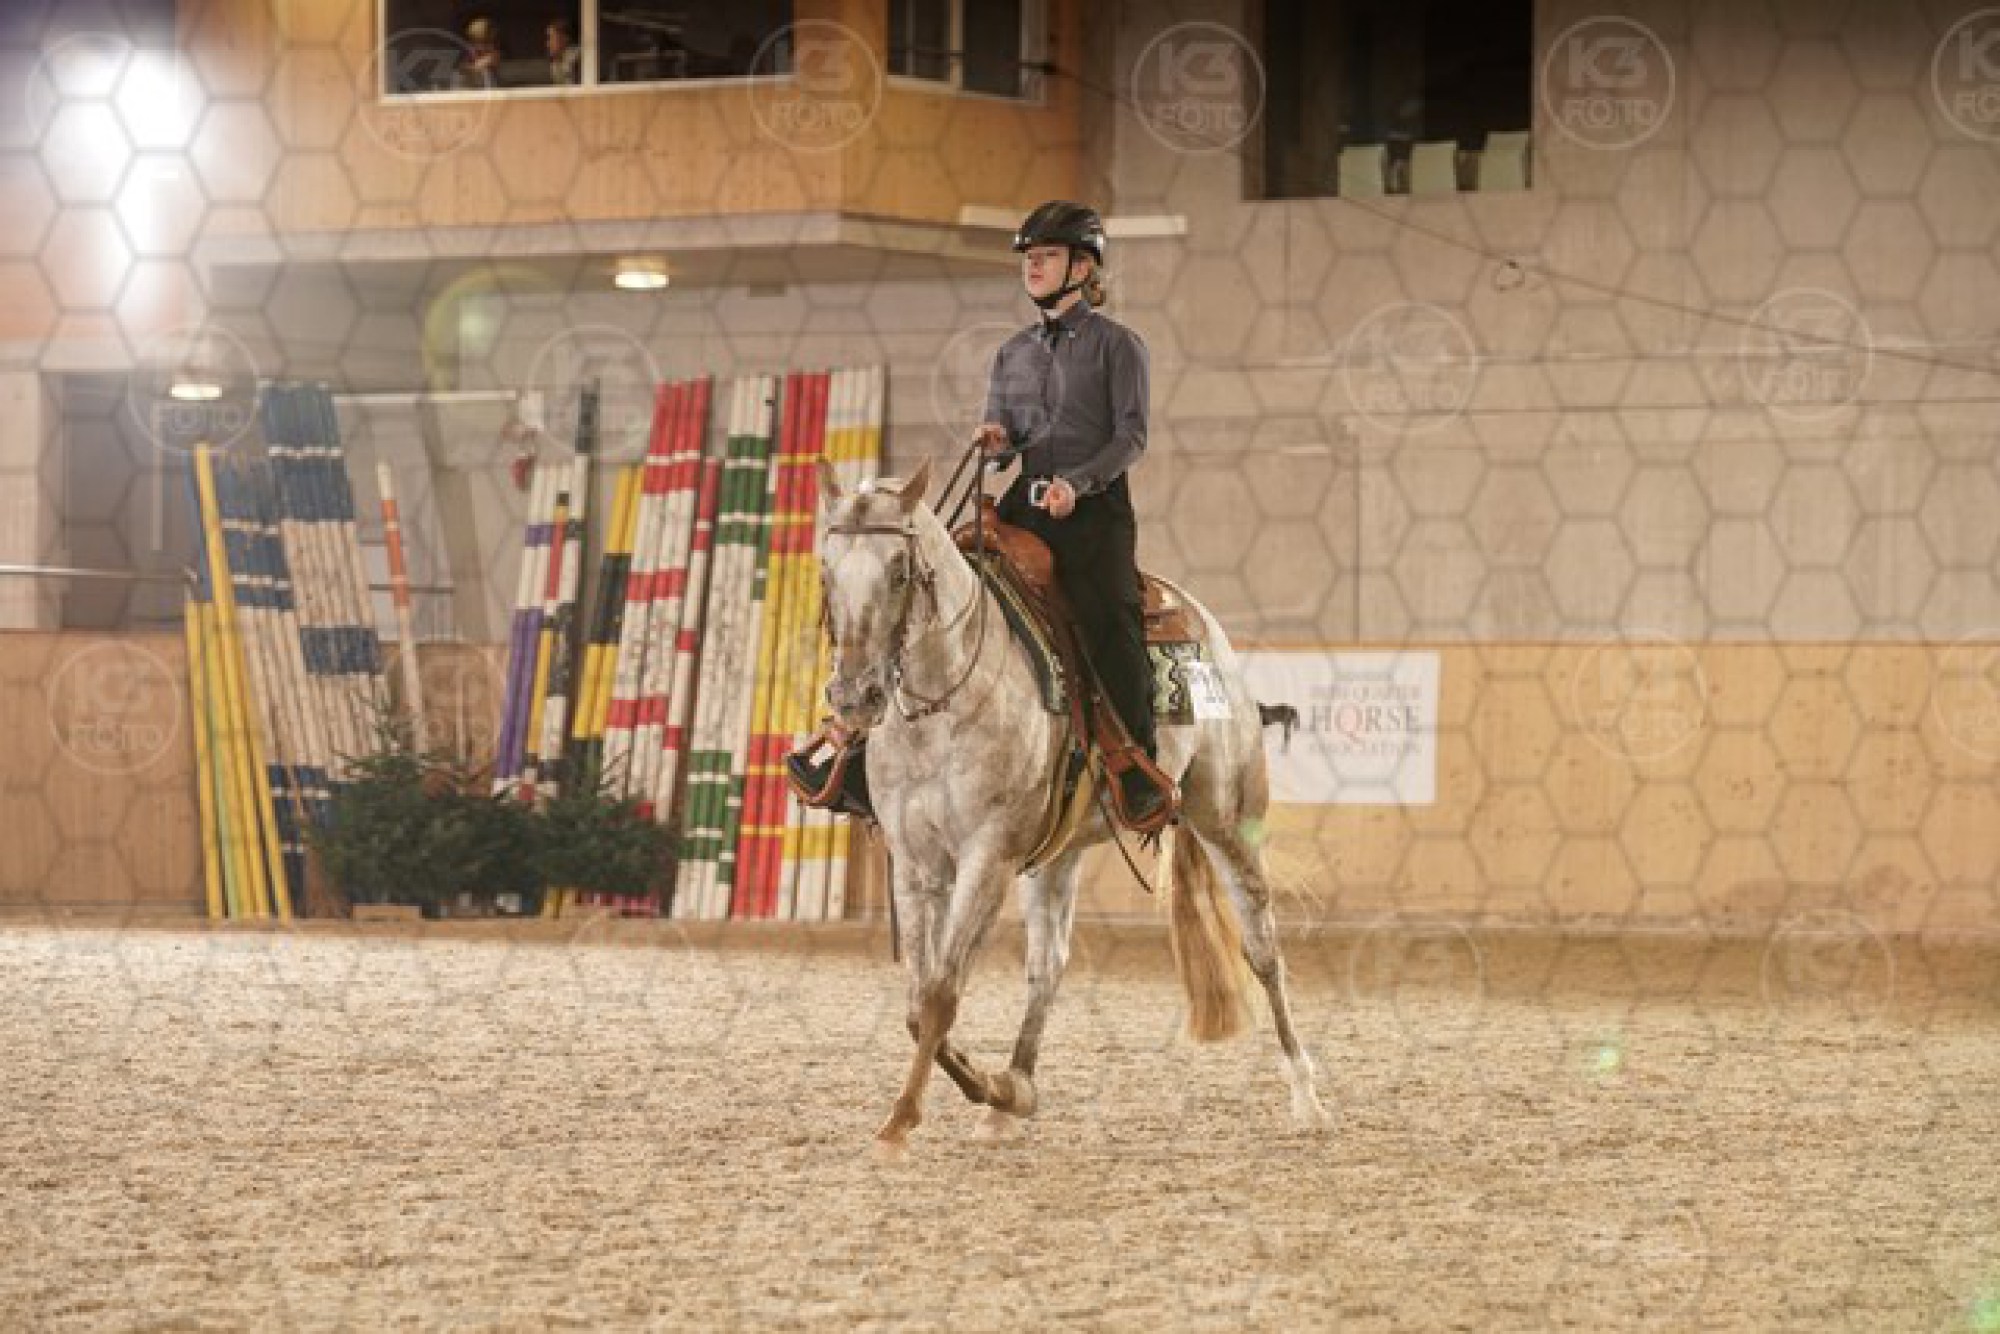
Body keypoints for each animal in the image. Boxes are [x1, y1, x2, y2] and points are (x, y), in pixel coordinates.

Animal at [816, 454, 1333, 1155]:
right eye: (825, 570)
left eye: (899, 570)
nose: (854, 696)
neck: (950, 700)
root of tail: (1204, 625)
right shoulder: (918, 864)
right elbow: (919, 1002)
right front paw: (993, 1090)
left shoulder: (987, 856)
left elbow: (941, 995)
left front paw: (902, 1120)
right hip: (1055, 854)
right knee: (1048, 967)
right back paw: (1012, 1094)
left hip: (1227, 820)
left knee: (1263, 951)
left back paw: (1307, 1098)